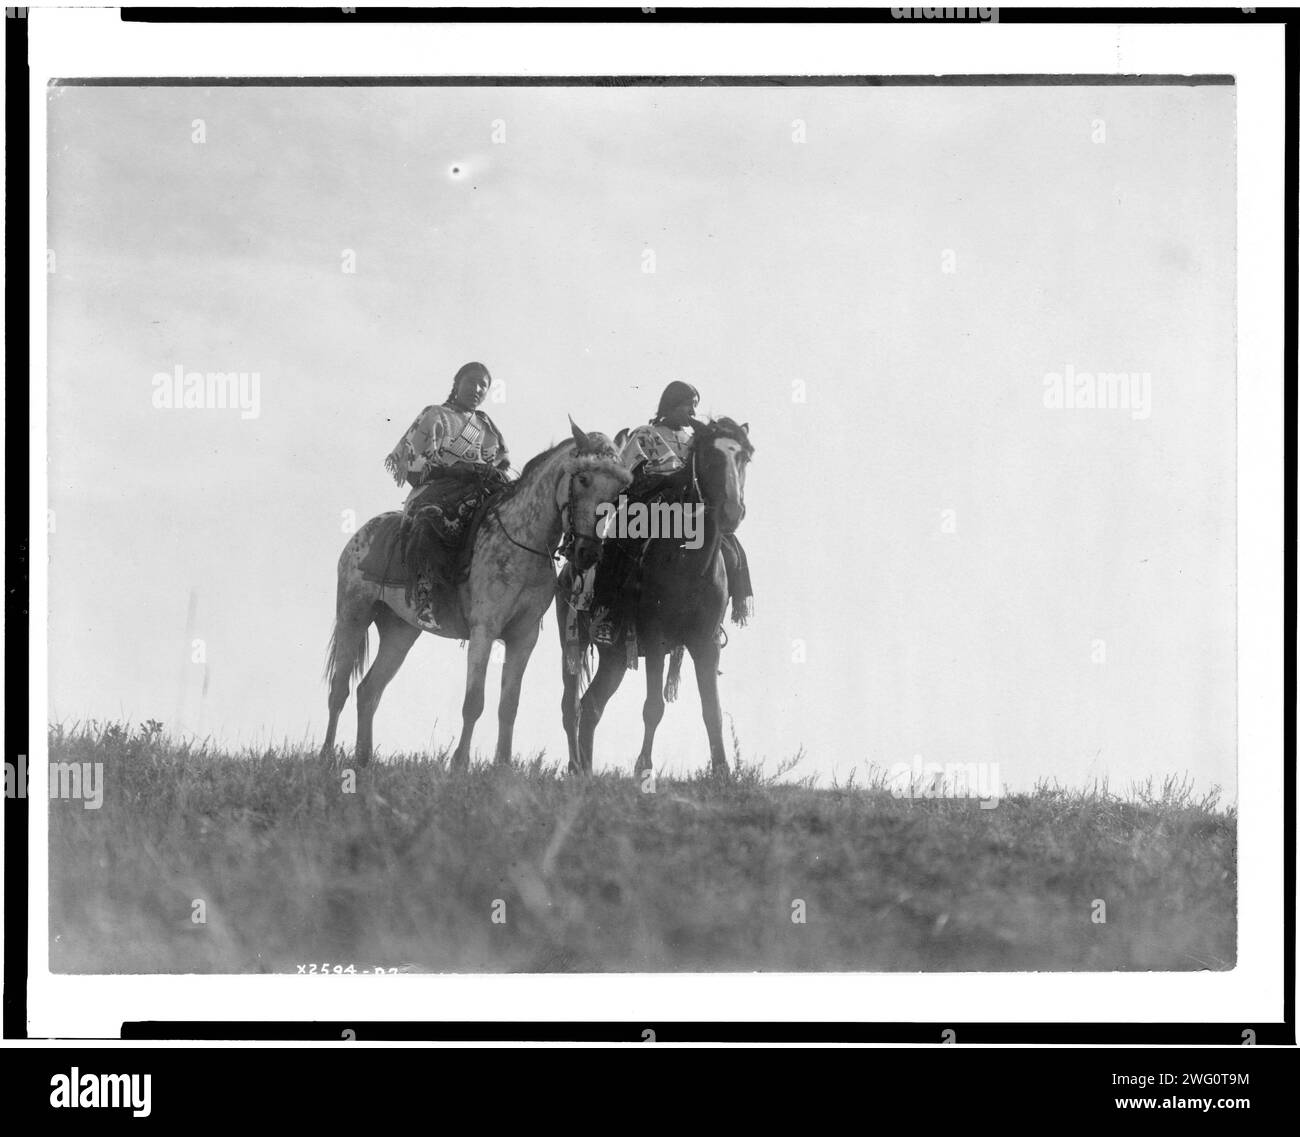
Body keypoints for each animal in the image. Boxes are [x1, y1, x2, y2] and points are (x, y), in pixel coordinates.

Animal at [556, 421, 754, 784]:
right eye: (710, 456)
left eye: (744, 456)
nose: (733, 511)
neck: (688, 562)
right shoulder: (656, 637)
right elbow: (653, 707)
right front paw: (644, 769)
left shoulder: (705, 643)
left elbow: (712, 710)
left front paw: (722, 772)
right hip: (572, 644)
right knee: (571, 706)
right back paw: (575, 767)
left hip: (615, 658)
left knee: (591, 706)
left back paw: (587, 769)